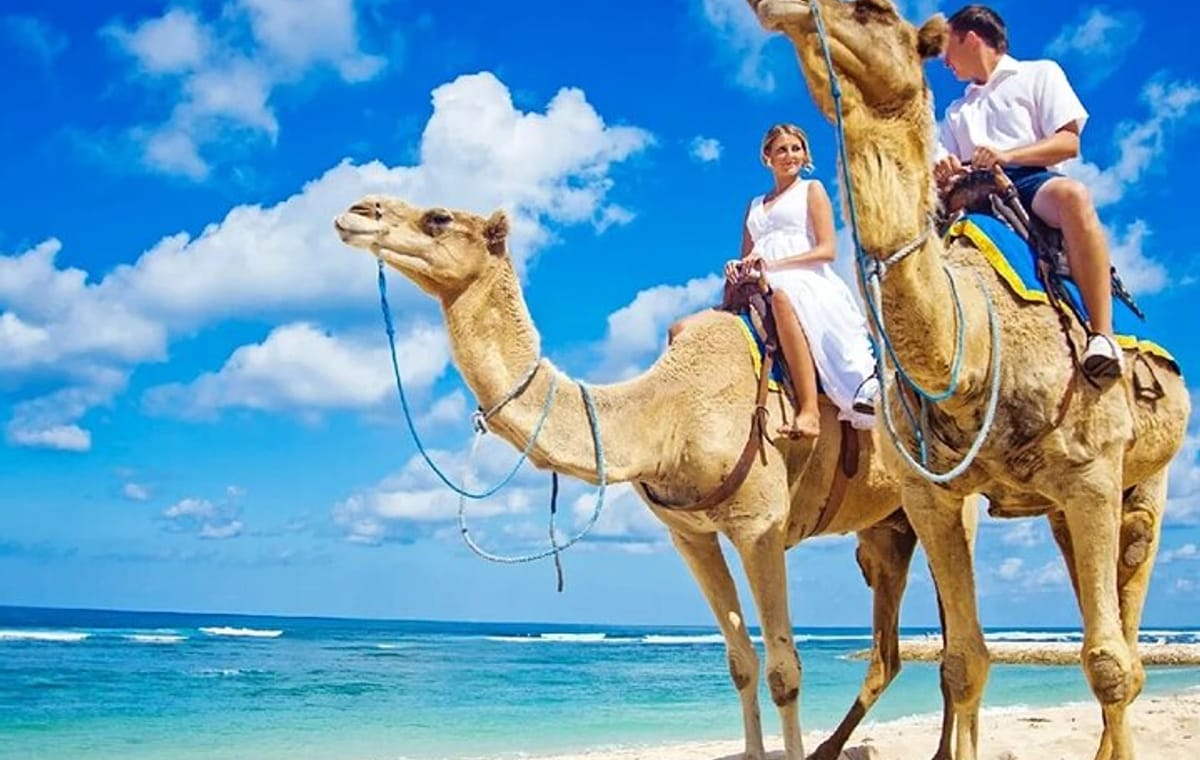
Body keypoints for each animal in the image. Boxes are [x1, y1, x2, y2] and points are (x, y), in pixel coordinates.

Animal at [333, 196, 963, 760]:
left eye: (438, 218)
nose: (356, 211)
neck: (669, 412)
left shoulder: (759, 523)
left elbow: (784, 669)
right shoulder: (690, 534)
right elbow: (740, 662)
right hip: (886, 529)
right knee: (896, 650)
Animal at [745, 1, 1190, 759]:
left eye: (874, 10)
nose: (774, 7)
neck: (974, 347)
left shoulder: (1093, 473)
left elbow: (1109, 662)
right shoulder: (930, 496)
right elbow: (962, 661)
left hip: (1145, 479)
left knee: (1125, 636)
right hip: (1059, 509)